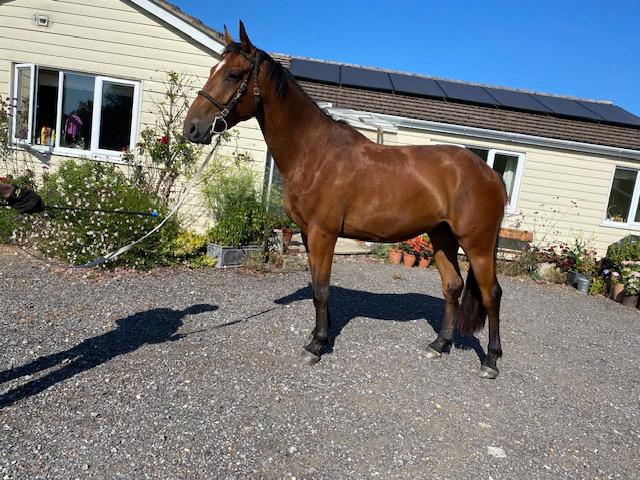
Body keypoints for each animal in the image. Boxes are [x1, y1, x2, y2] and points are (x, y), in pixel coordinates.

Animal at [184, 22, 508, 379]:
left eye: (232, 74)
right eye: (212, 70)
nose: (192, 128)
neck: (314, 152)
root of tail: (491, 175)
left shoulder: (323, 234)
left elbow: (322, 289)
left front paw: (316, 346)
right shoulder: (307, 234)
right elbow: (316, 286)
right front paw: (319, 335)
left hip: (477, 244)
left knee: (492, 294)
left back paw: (491, 362)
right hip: (442, 236)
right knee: (452, 285)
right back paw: (439, 345)